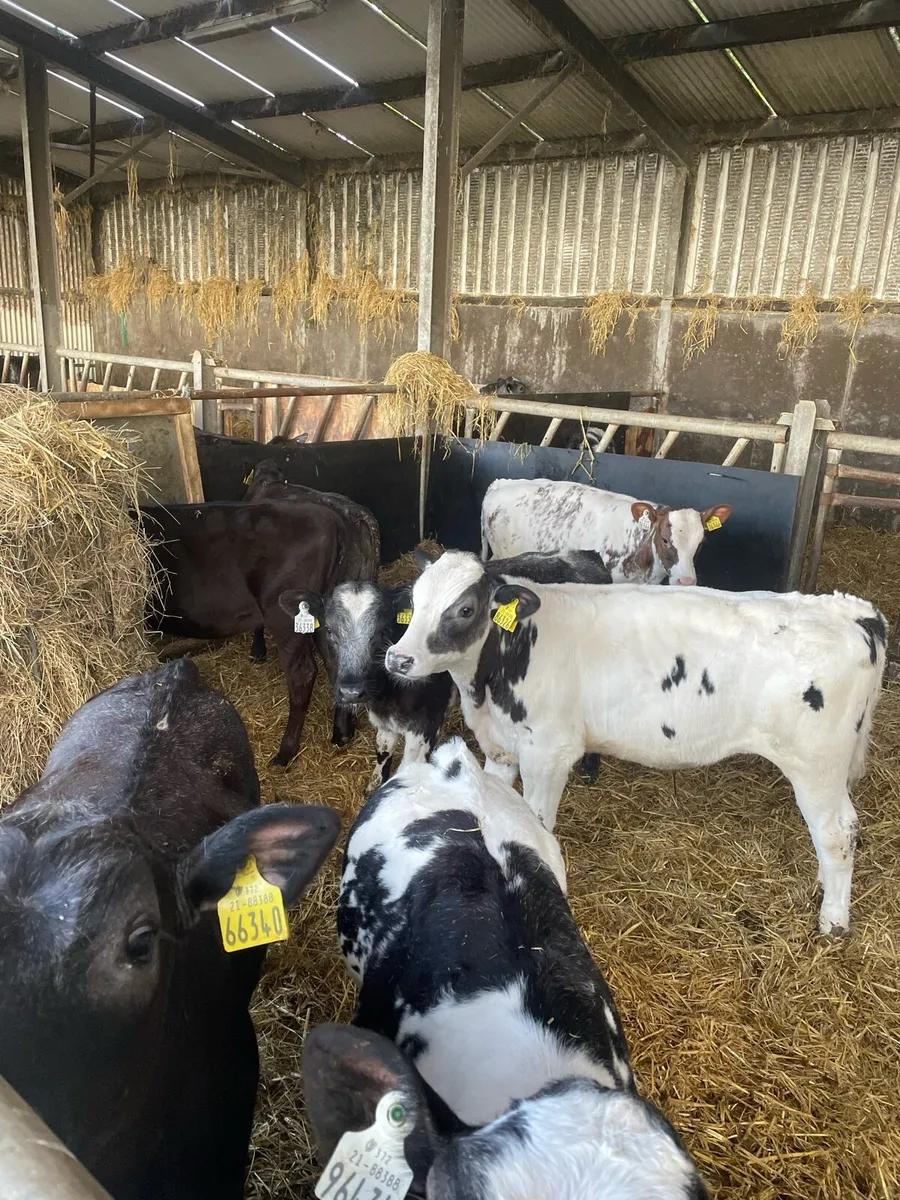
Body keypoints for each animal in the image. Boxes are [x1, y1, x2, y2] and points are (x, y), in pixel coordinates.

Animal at [141, 493, 377, 765]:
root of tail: (331, 519)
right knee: (336, 664)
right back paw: (342, 732)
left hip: (285, 616)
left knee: (302, 675)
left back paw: (286, 752)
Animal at [384, 551, 887, 934]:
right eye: (415, 600)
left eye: (465, 609)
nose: (398, 657)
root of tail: (852, 611)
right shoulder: (501, 748)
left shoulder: (550, 751)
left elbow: (536, 822)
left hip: (816, 763)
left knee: (839, 830)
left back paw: (834, 919)